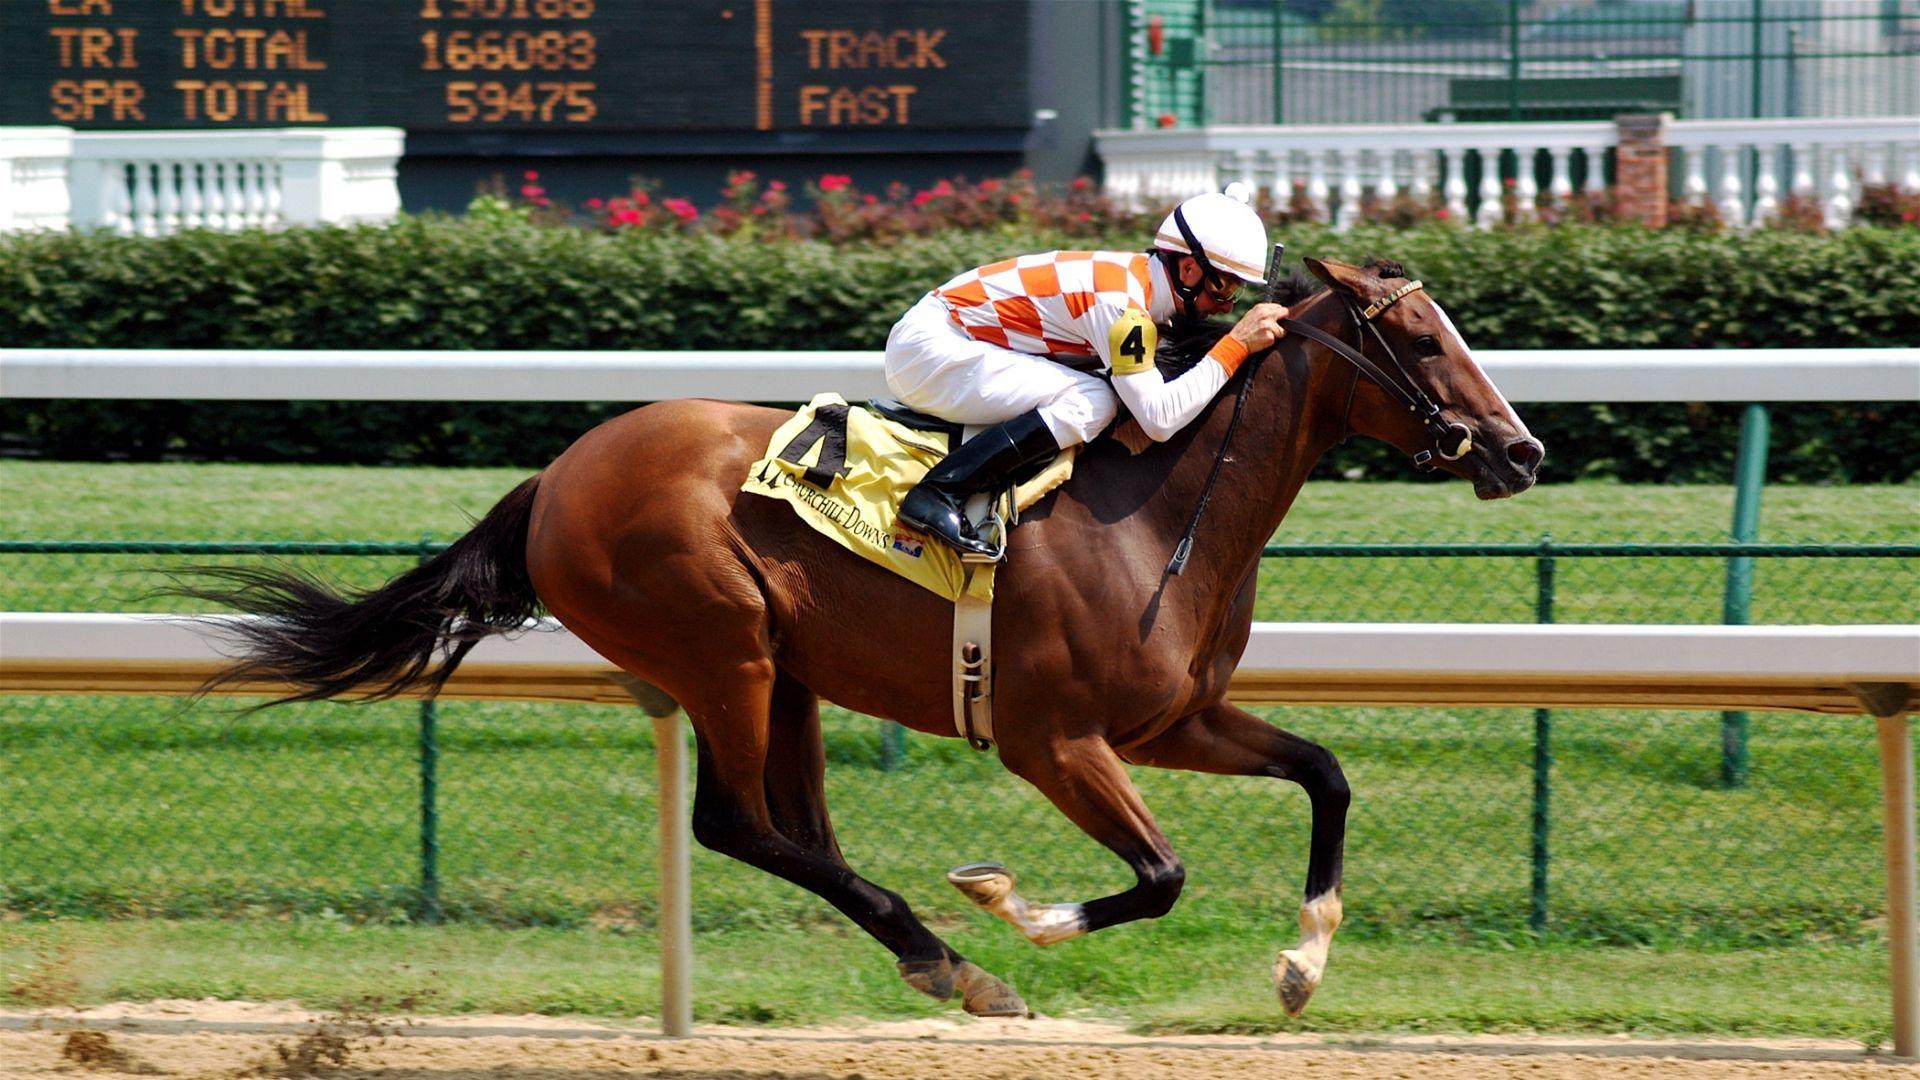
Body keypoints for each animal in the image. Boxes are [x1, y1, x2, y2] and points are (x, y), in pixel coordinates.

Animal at [188, 255, 1543, 1019]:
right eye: (1420, 338)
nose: (1523, 449)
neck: (1159, 507)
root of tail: (558, 475)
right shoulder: (1055, 741)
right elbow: (1161, 876)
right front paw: (1014, 908)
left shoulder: (1172, 721)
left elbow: (1326, 774)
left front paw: (1303, 964)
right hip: (720, 646)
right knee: (737, 826)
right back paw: (958, 961)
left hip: (785, 672)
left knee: (798, 833)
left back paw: (936, 960)